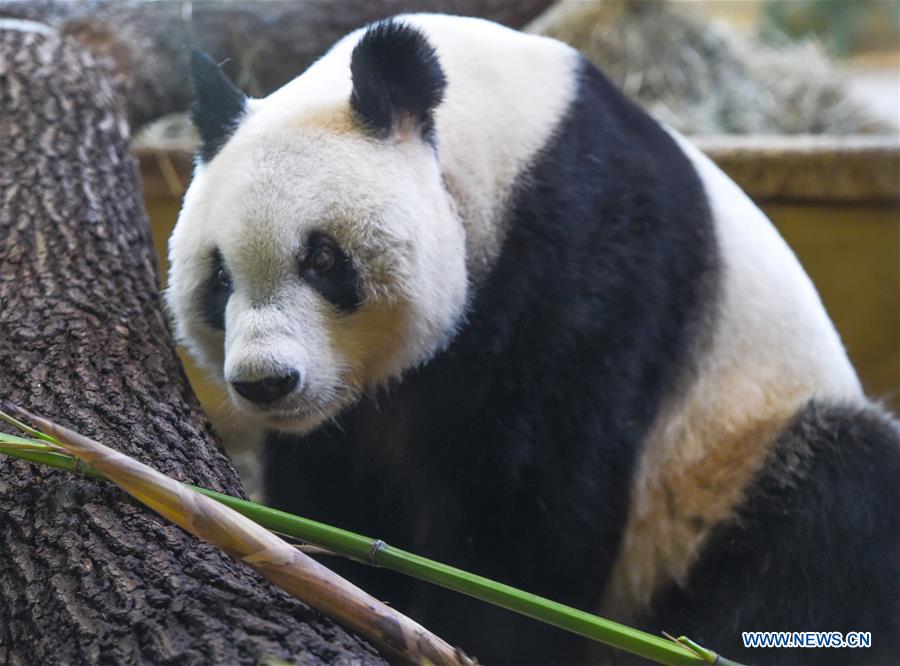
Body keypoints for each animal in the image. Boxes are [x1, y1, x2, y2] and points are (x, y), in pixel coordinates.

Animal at [165, 13, 896, 660]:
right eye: (219, 277)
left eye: (321, 259)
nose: (267, 383)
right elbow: (335, 489)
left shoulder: (587, 249)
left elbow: (533, 493)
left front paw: (470, 630)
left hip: (732, 458)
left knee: (835, 512)